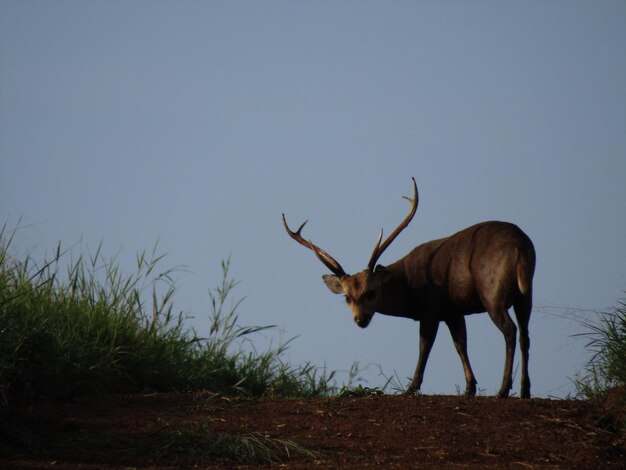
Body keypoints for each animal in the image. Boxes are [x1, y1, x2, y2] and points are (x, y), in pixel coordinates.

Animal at [280, 178, 532, 398]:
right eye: (347, 298)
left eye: (370, 292)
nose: (360, 320)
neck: (410, 290)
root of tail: (519, 246)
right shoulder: (452, 310)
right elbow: (460, 344)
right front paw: (470, 388)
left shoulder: (431, 308)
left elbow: (425, 345)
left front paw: (411, 388)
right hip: (526, 292)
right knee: (525, 334)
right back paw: (525, 390)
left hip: (492, 290)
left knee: (510, 330)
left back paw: (503, 390)